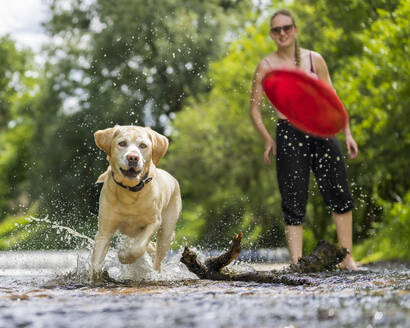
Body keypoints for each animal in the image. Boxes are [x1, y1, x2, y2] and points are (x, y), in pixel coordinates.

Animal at [91, 124, 181, 280]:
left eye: (143, 145)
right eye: (122, 143)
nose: (133, 157)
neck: (130, 192)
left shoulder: (154, 222)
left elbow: (137, 248)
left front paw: (123, 256)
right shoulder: (105, 230)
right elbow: (96, 262)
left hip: (166, 231)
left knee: (157, 258)